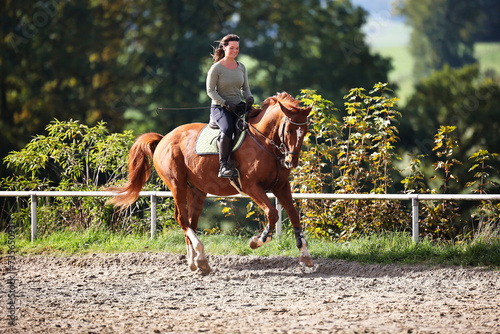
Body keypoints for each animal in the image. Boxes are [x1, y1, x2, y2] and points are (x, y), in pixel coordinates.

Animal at [108, 92, 312, 274]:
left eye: (305, 131)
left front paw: (305, 255)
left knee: (190, 221)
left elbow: (293, 214)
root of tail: (163, 138)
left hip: (197, 191)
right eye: (289, 130)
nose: (291, 162)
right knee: (181, 218)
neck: (265, 142)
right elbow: (272, 213)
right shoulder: (251, 186)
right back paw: (201, 255)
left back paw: (196, 262)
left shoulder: (281, 186)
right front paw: (257, 241)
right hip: (177, 185)